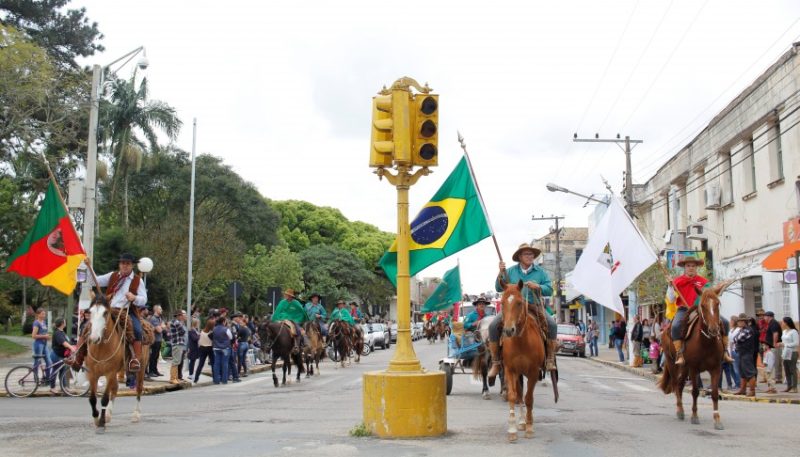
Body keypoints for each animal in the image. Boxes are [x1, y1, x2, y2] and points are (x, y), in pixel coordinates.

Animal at [500, 280, 552, 440]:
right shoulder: (510, 370)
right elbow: (513, 396)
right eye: (502, 302)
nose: (508, 330)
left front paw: (530, 427)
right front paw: (512, 430)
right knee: (519, 395)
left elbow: (529, 398)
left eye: (519, 303)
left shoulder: (534, 372)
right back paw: (521, 422)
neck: (521, 341)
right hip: (518, 373)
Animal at [660, 286, 728, 430]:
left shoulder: (716, 368)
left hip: (684, 368)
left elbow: (714, 393)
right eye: (703, 305)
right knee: (675, 384)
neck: (706, 342)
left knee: (680, 385)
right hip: (672, 363)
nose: (714, 329)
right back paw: (680, 410)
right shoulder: (694, 368)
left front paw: (717, 419)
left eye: (717, 304)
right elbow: (695, 391)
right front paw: (694, 416)